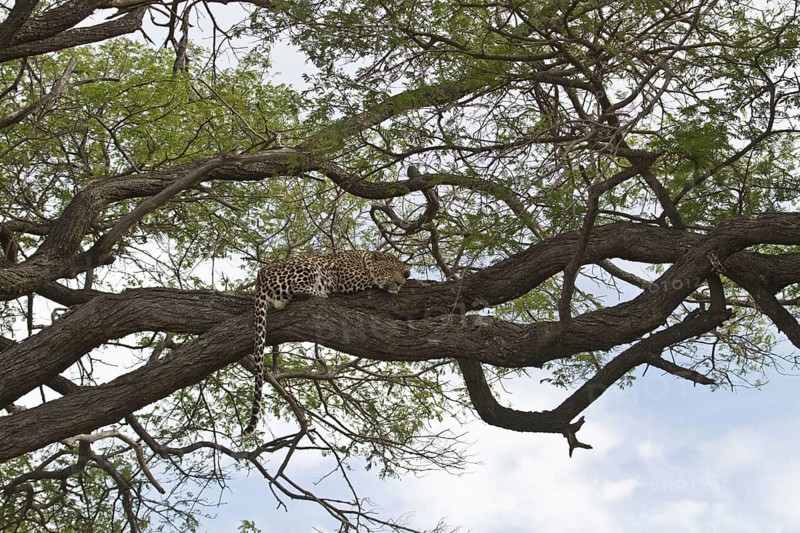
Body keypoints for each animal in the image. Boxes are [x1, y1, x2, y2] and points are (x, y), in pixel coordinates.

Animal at [242, 250, 409, 436]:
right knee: (298, 287)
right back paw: (321, 293)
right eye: (388, 269)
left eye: (398, 270)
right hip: (308, 265)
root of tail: (260, 281)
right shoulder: (349, 280)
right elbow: (372, 280)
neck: (363, 259)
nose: (399, 282)